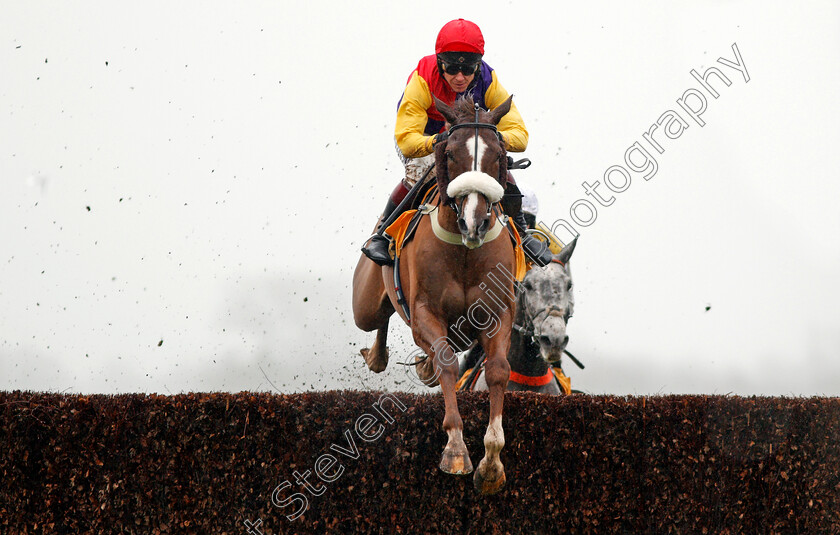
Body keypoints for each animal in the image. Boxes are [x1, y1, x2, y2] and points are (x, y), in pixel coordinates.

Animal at [352, 94, 520, 496]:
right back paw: (377, 355)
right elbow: (445, 361)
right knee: (380, 317)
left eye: (499, 156)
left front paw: (492, 462)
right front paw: (456, 450)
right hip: (364, 304)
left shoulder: (499, 314)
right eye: (452, 154)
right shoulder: (426, 314)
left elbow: (498, 370)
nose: (475, 222)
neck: (465, 249)